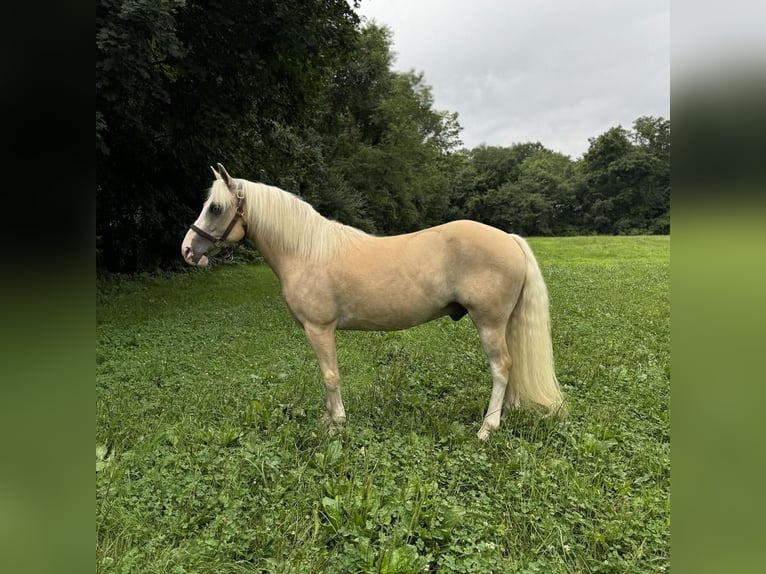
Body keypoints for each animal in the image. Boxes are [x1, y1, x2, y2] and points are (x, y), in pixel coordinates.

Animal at [180, 164, 564, 438]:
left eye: (215, 208)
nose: (187, 250)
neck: (305, 251)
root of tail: (509, 238)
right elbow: (327, 376)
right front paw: (328, 419)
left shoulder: (319, 329)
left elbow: (330, 375)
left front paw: (336, 424)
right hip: (502, 323)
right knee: (511, 366)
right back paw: (505, 414)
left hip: (488, 322)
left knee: (501, 367)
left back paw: (487, 428)